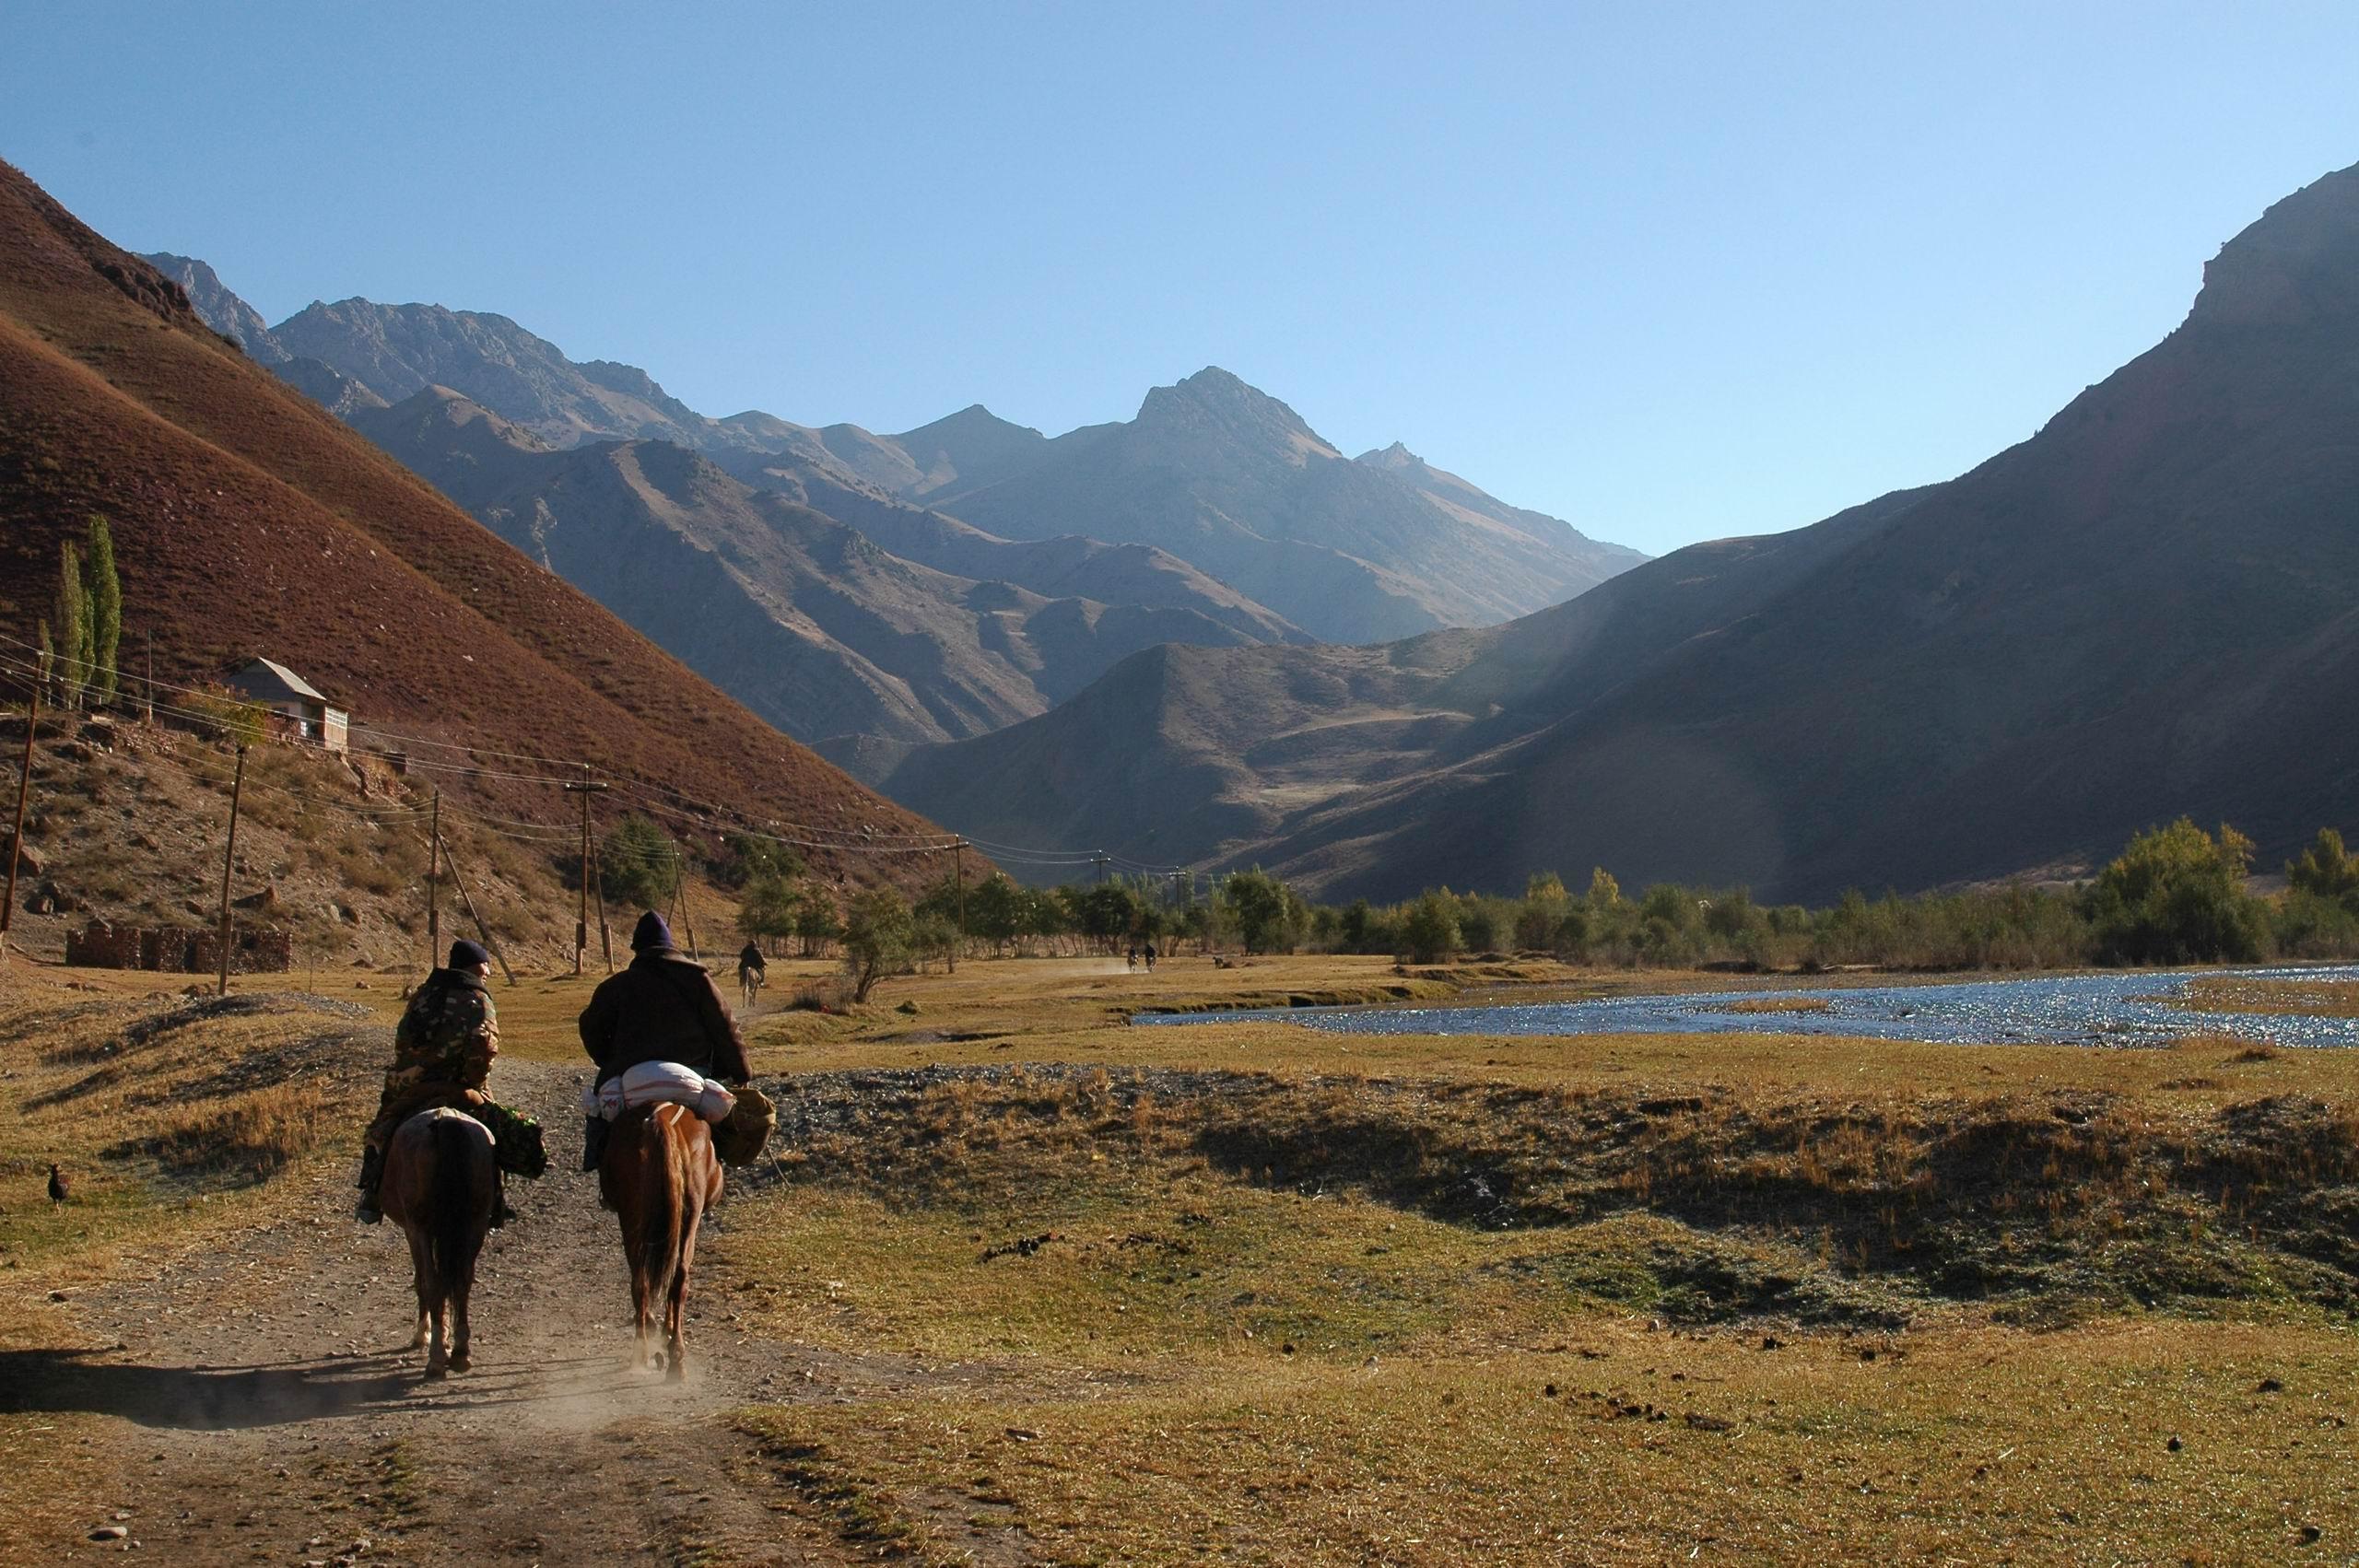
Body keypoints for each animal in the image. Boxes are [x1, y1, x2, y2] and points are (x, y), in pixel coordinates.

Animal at [377, 1107, 498, 1376]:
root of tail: (445, 1121)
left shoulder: (413, 1231)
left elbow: (421, 1281)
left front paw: (425, 1334)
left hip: (421, 1227)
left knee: (432, 1282)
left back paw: (436, 1356)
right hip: (475, 1224)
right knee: (463, 1280)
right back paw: (460, 1353)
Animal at [599, 1094, 717, 1376]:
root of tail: (660, 1122)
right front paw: (666, 1330)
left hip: (635, 1216)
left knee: (645, 1279)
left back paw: (650, 1352)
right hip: (685, 1214)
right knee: (673, 1277)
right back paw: (671, 1356)